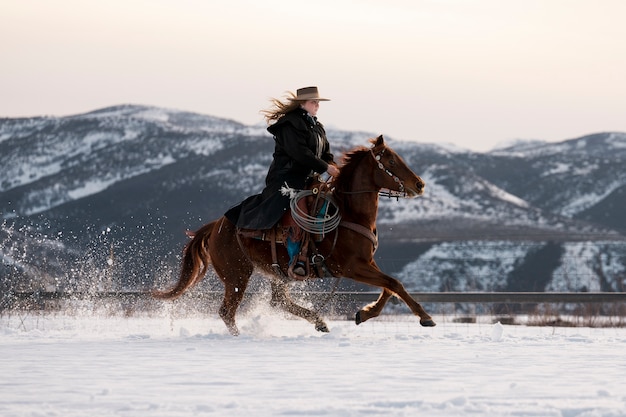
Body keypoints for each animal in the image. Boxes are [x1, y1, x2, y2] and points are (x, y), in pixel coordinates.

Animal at [155, 134, 434, 334]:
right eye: (391, 161)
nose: (420, 184)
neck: (350, 213)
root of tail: (215, 226)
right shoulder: (353, 267)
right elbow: (394, 283)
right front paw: (425, 317)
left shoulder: (368, 263)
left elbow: (390, 286)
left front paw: (364, 314)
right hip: (237, 276)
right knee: (227, 311)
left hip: (277, 272)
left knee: (278, 301)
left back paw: (319, 321)